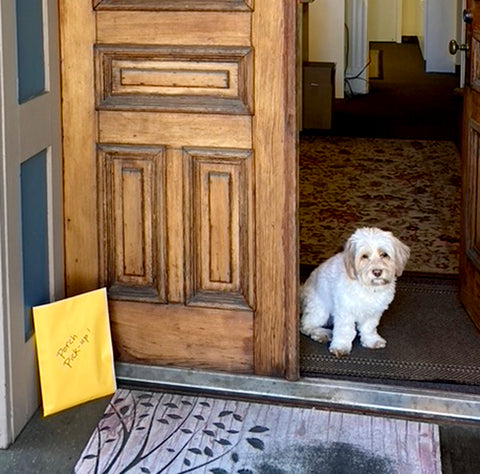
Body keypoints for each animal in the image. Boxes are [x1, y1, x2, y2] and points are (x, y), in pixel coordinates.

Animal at [300, 228, 408, 358]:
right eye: (364, 256)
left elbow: (369, 327)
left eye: (384, 254)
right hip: (320, 310)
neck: (368, 287)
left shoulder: (374, 311)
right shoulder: (345, 311)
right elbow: (345, 330)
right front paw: (341, 346)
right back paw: (321, 333)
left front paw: (371, 340)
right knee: (306, 325)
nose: (377, 272)